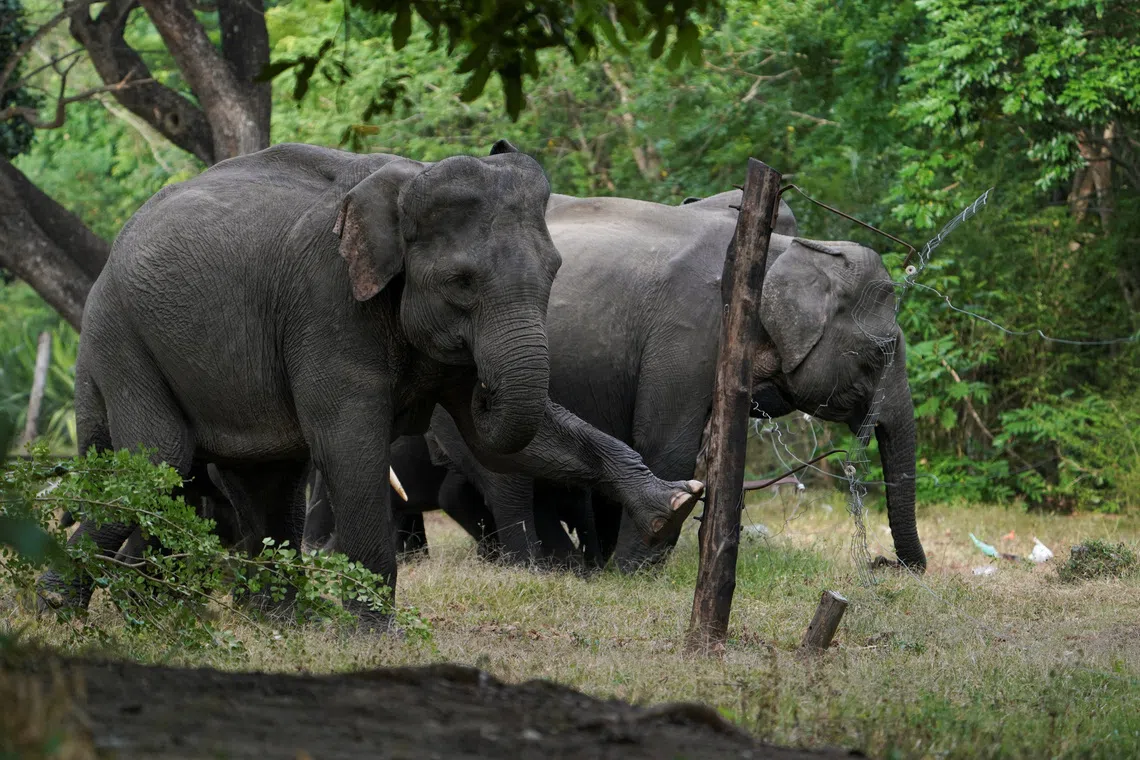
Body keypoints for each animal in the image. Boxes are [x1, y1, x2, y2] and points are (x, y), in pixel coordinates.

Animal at [37, 141, 704, 625]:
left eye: (556, 270)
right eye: (460, 282)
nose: (486, 386)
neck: (407, 182)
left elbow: (519, 439)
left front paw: (674, 504)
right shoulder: (326, 302)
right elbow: (350, 441)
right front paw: (373, 634)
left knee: (267, 480)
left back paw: (277, 620)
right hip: (120, 338)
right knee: (161, 461)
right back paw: (55, 609)